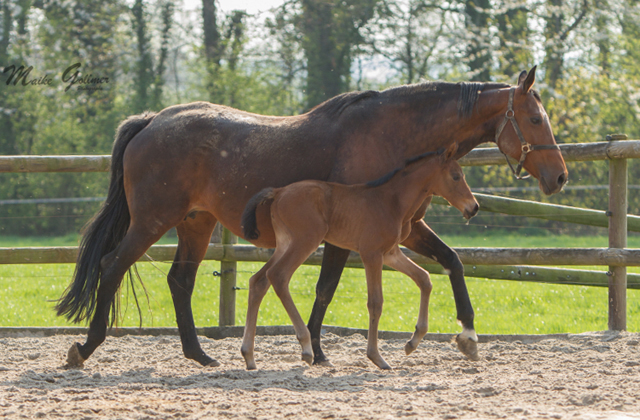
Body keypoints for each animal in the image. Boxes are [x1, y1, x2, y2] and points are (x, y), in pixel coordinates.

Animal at [241, 143, 480, 370]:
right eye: (456, 176)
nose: (474, 207)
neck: (391, 201)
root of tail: (278, 192)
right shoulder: (371, 254)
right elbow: (376, 302)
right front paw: (377, 357)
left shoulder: (390, 253)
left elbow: (424, 279)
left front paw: (412, 342)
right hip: (305, 241)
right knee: (278, 276)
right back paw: (306, 348)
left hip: (285, 243)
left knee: (258, 280)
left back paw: (249, 356)